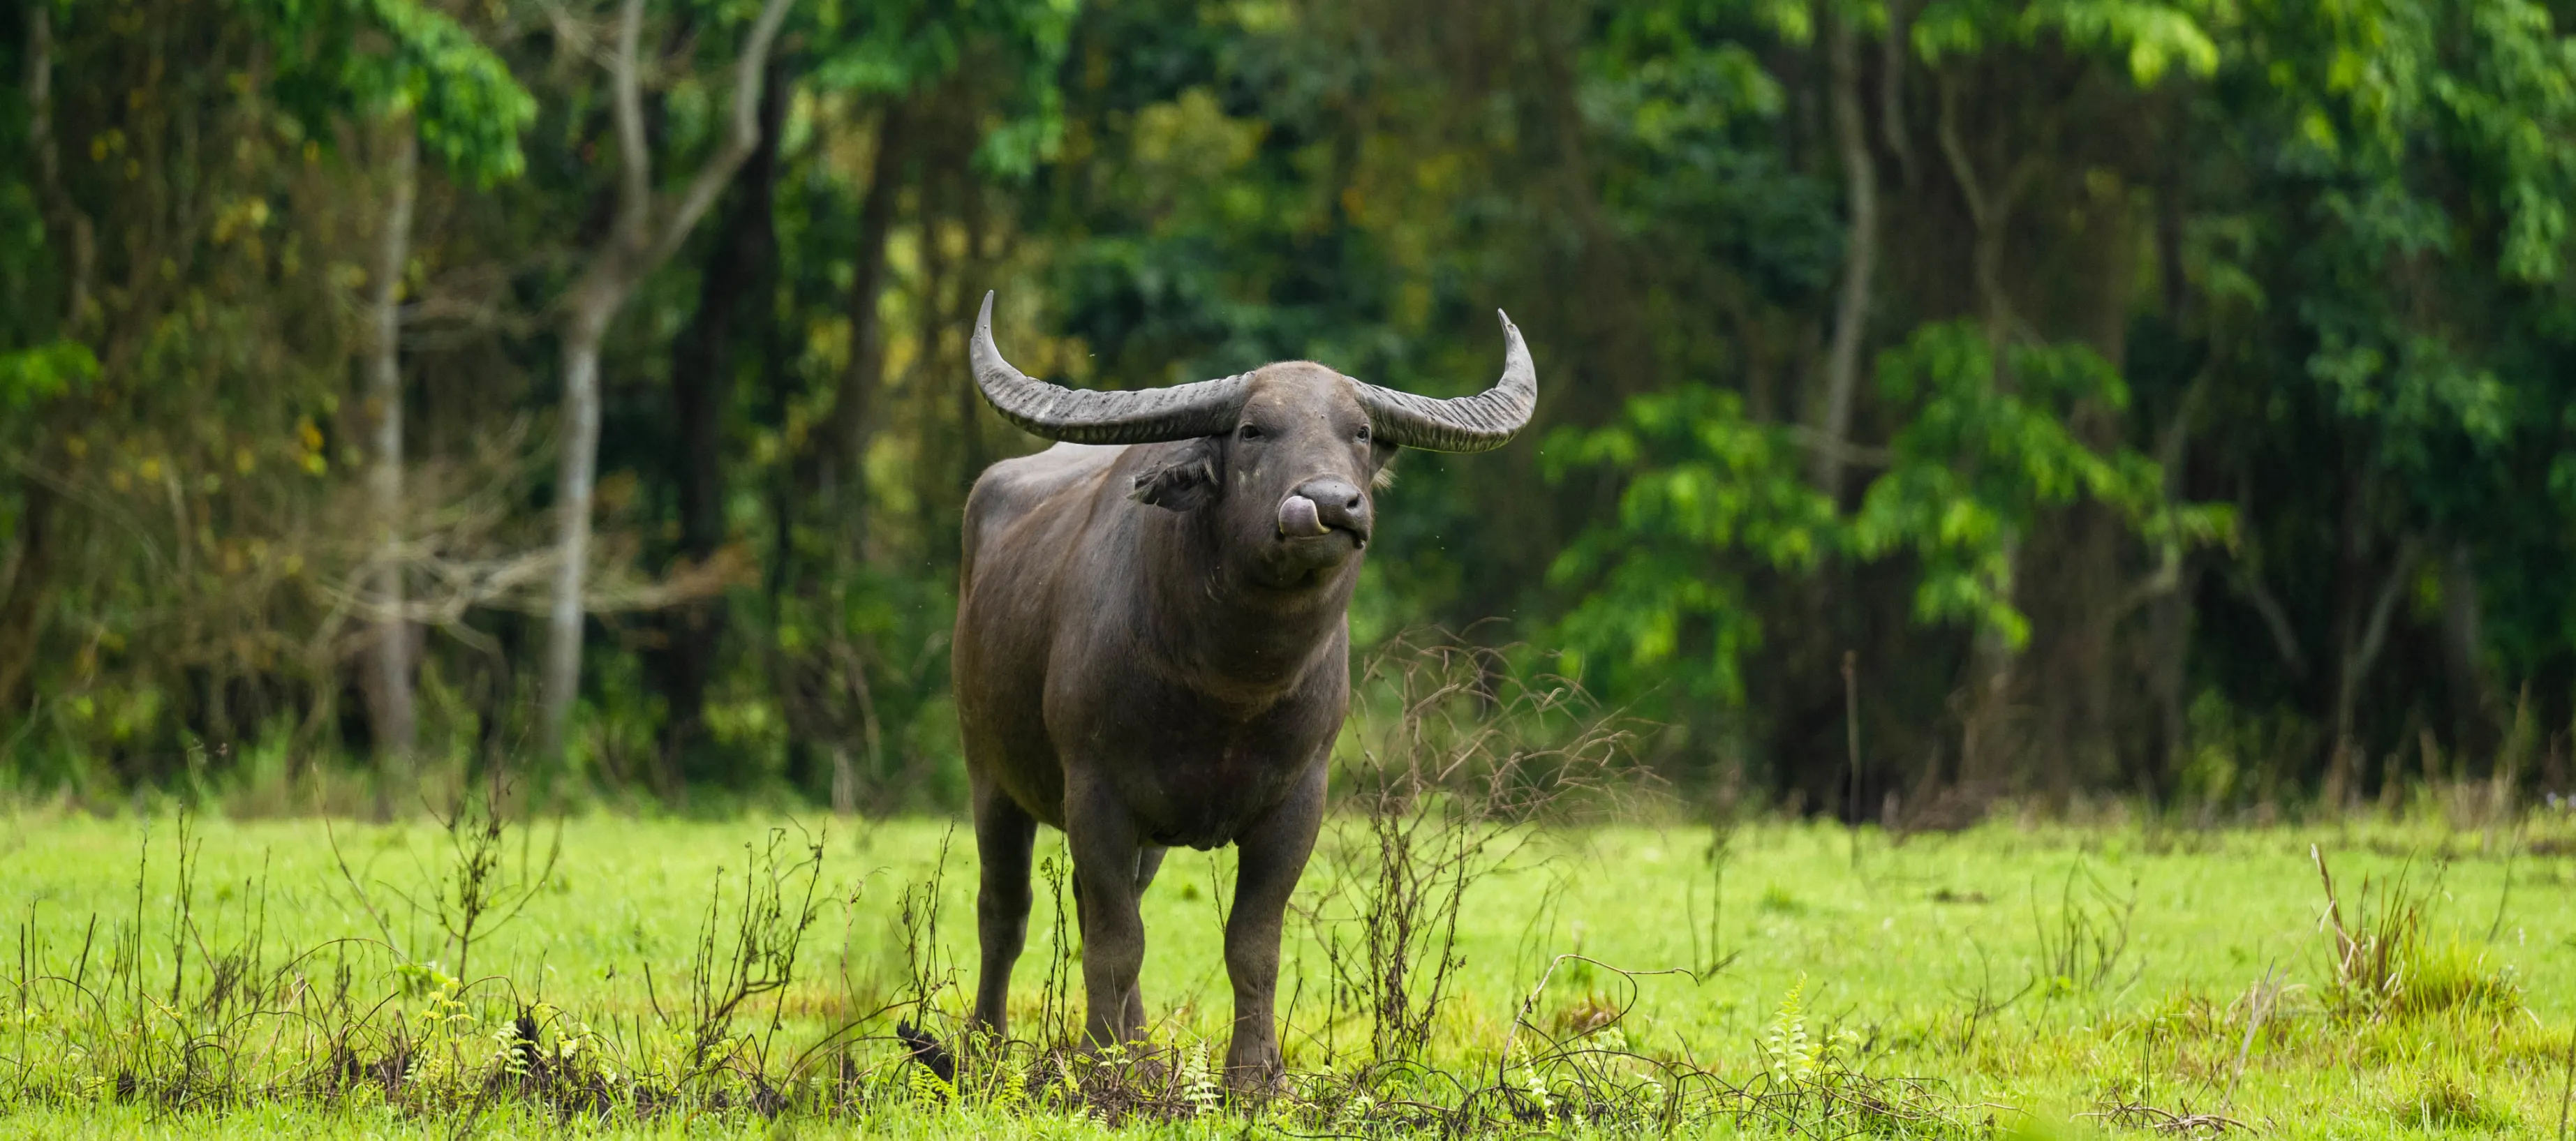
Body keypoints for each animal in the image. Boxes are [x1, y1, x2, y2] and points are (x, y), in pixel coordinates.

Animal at [951, 291, 1535, 1088]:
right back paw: (986, 1048)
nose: (1331, 504)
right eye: (1253, 430)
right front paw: (1104, 1070)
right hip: (991, 774)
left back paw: (1144, 1050)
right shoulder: (1095, 789)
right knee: (1004, 911)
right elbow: (1114, 942)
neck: (1230, 687)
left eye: (1359, 432)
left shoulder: (1297, 801)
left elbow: (1250, 943)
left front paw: (1254, 1076)